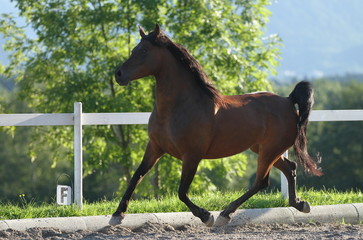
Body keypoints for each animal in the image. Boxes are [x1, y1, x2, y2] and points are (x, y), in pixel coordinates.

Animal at [111, 24, 322, 227]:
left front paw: (206, 216)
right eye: (134, 49)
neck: (178, 107)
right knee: (289, 168)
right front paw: (117, 214)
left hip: (270, 150)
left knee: (261, 182)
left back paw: (225, 213)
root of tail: (288, 101)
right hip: (264, 149)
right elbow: (136, 177)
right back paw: (299, 204)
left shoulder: (192, 155)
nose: (118, 74)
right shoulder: (155, 147)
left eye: (144, 50)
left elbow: (181, 191)